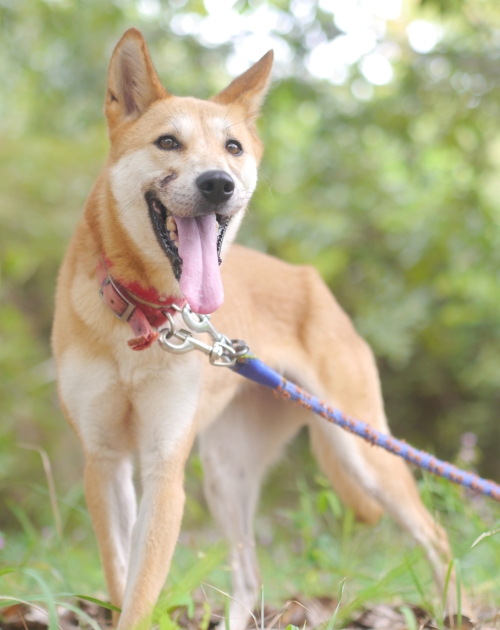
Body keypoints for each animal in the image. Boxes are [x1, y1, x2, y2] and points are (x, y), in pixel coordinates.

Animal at [52, 27, 466, 628]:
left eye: (233, 148)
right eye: (168, 142)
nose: (218, 184)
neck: (147, 315)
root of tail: (310, 280)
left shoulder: (163, 468)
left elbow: (140, 593)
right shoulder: (105, 463)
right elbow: (119, 579)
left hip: (361, 450)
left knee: (435, 536)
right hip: (227, 473)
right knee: (249, 577)